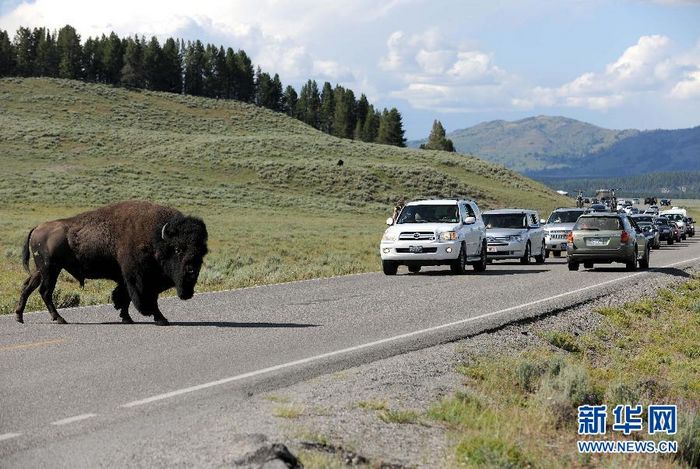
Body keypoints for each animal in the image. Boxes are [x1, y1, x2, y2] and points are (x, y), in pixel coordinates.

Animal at [15, 201, 208, 326]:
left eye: (202, 251)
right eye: (178, 249)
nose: (191, 271)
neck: (156, 237)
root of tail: (37, 228)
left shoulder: (125, 279)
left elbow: (124, 298)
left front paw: (126, 318)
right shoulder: (139, 279)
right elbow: (144, 298)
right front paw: (161, 319)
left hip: (41, 270)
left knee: (28, 286)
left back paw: (19, 316)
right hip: (50, 269)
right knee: (45, 292)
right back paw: (60, 319)